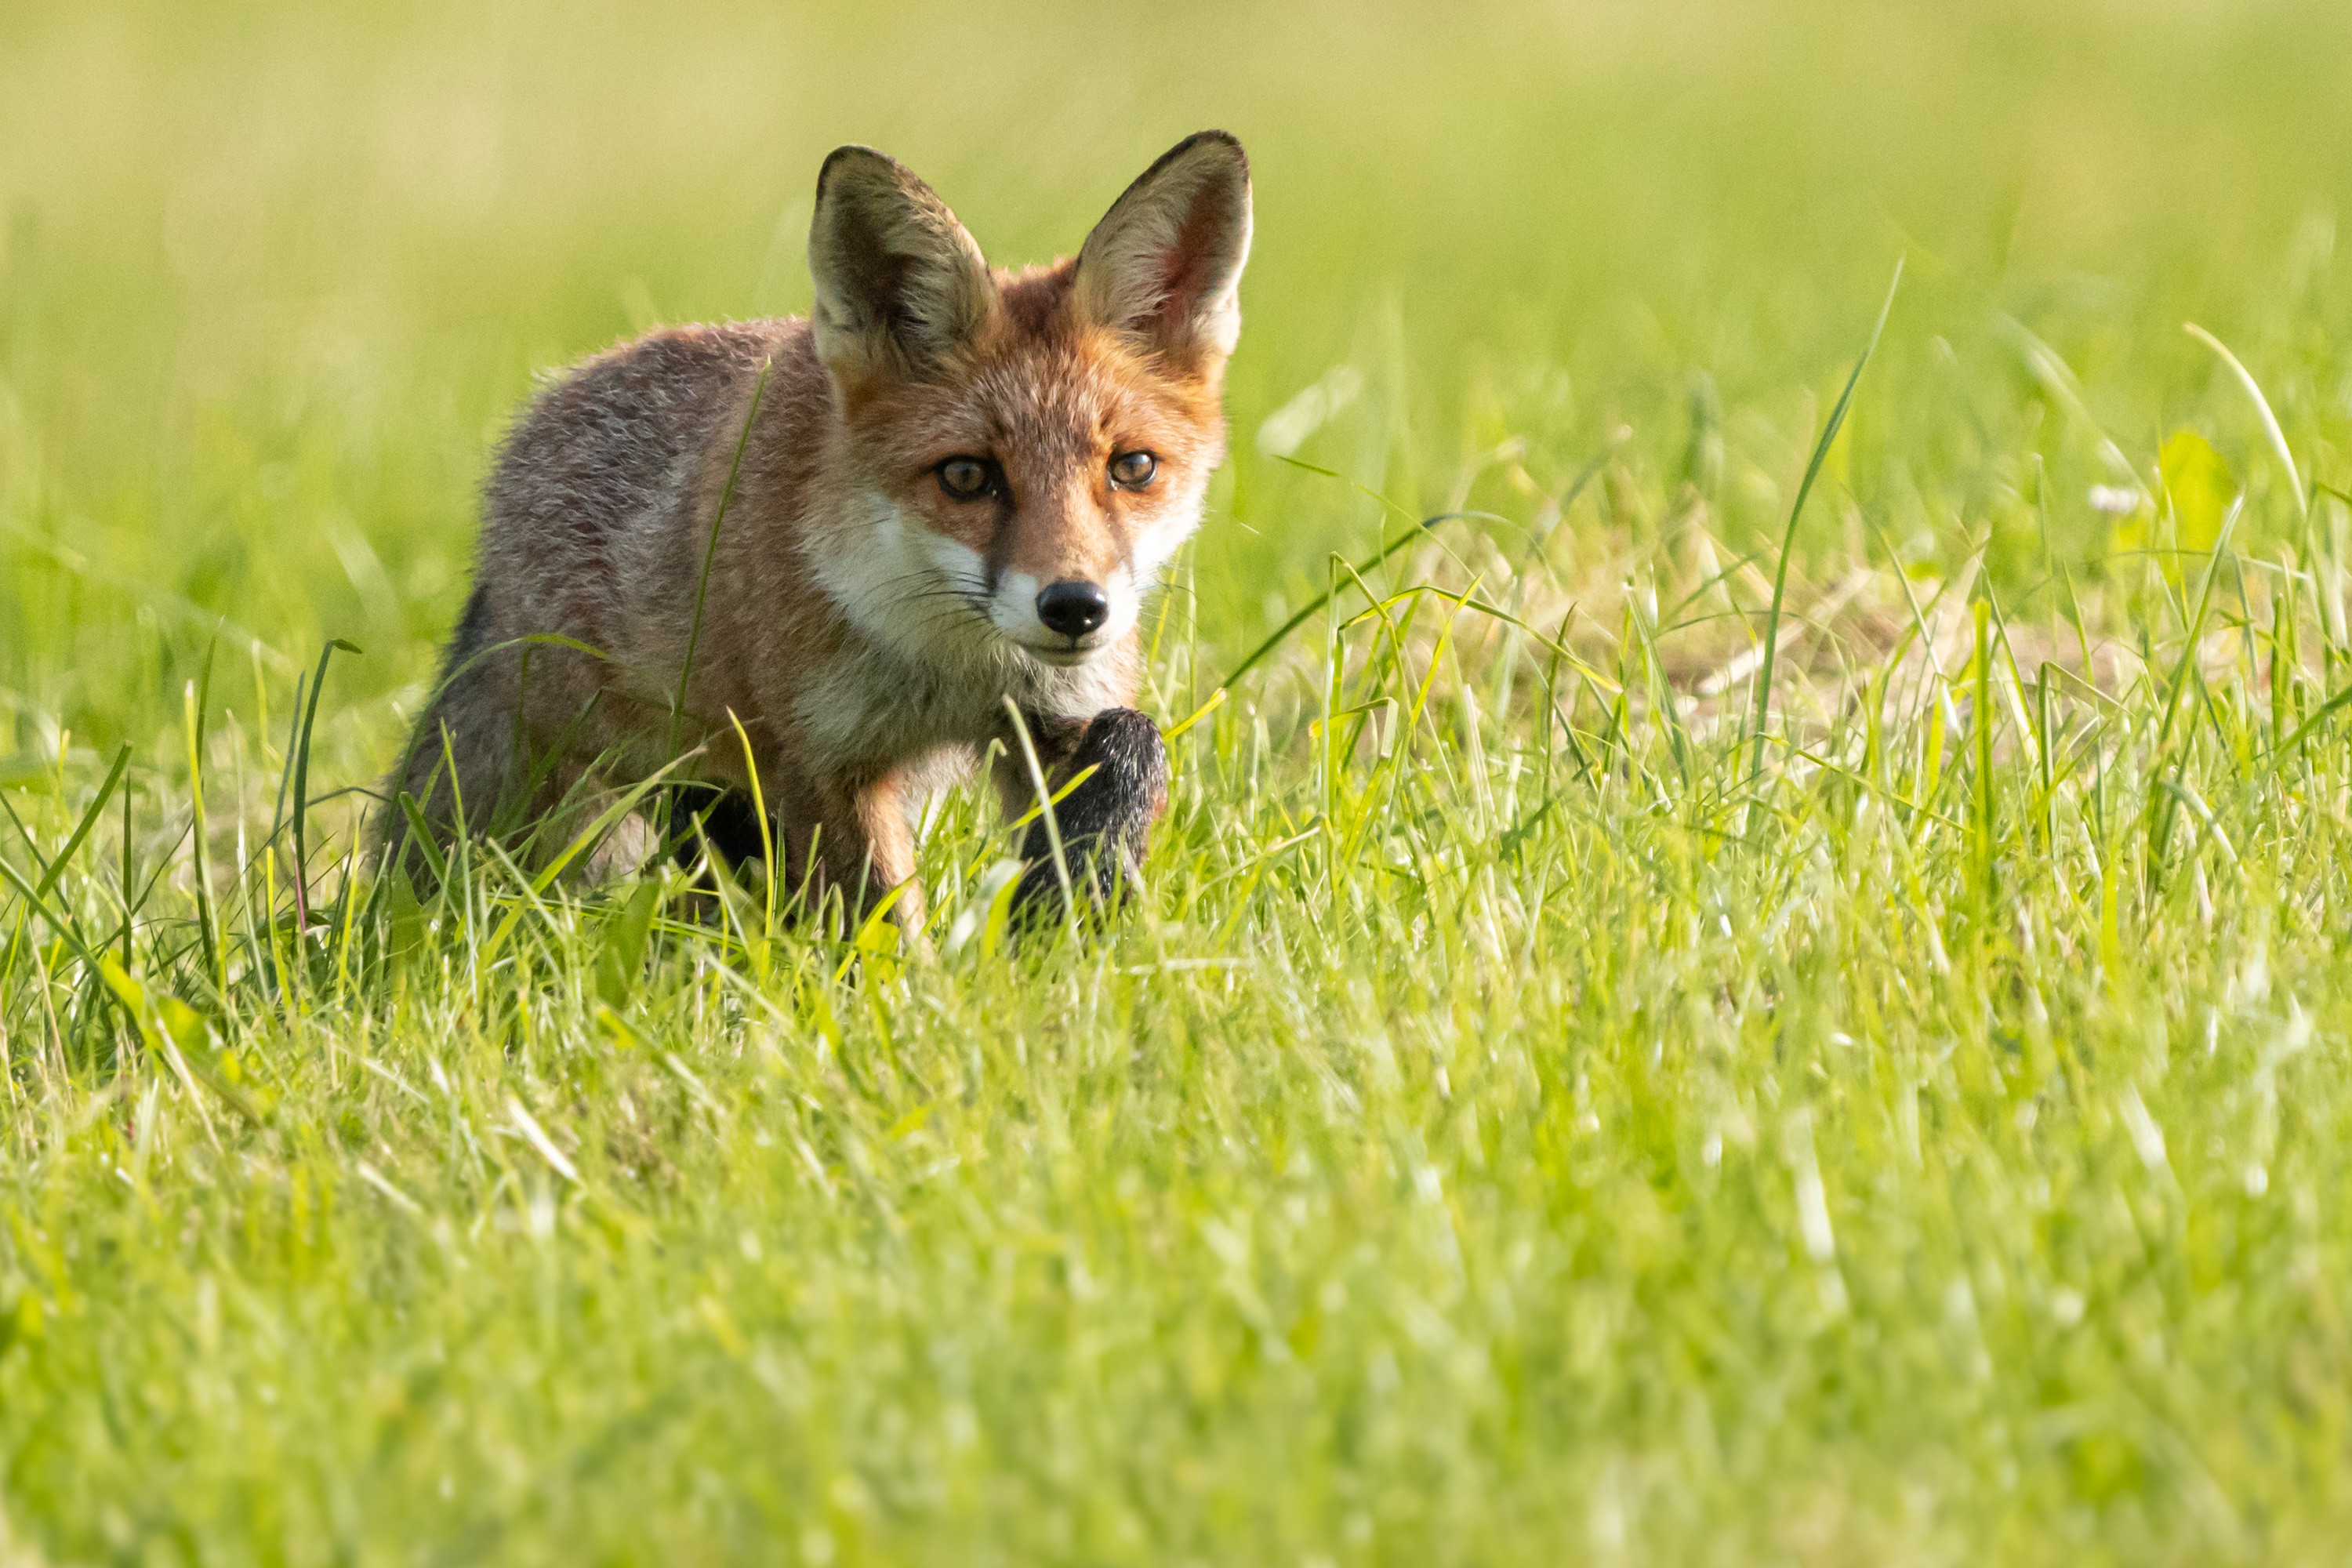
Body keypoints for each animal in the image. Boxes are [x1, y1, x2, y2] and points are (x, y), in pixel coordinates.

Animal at [374, 131, 1251, 931]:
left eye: (1133, 467)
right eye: (968, 476)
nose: (1075, 607)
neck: (952, 670)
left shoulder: (1053, 716)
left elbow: (1136, 747)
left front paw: (1068, 914)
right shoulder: (820, 759)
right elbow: (879, 923)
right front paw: (916, 997)